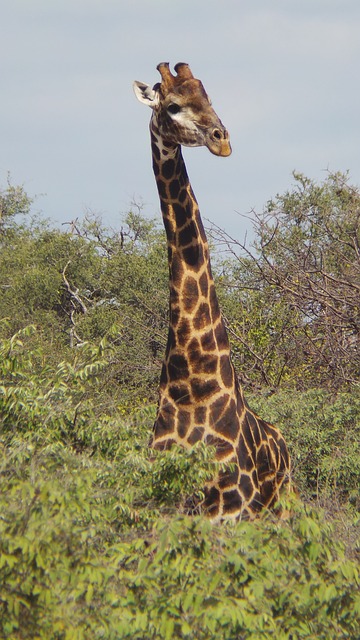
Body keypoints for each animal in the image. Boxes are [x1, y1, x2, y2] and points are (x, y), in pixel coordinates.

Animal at [134, 62, 292, 520]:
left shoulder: (230, 509)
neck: (192, 385)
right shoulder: (163, 505)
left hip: (283, 507)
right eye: (172, 105)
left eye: (209, 98)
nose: (222, 141)